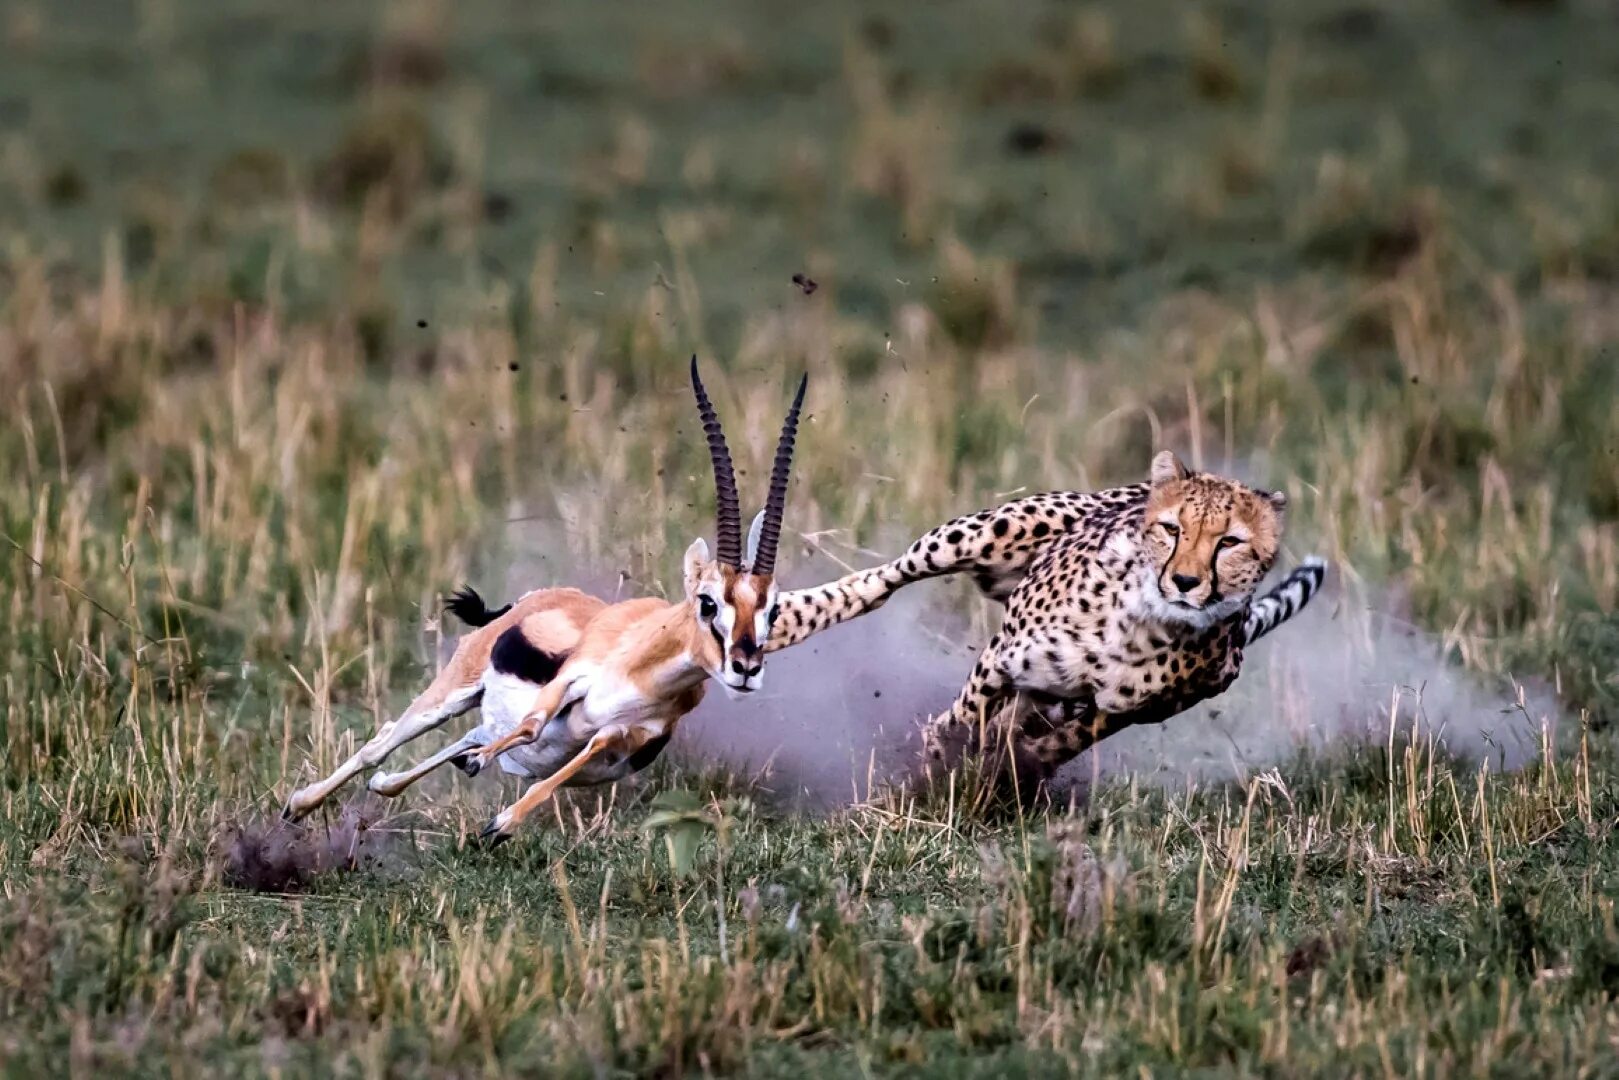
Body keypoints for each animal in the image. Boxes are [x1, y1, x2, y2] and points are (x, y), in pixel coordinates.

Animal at [770, 453, 1327, 780]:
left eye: (1229, 542)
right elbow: (962, 721)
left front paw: (1004, 773)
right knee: (884, 582)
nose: (1186, 582)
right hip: (983, 532)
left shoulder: (1117, 707)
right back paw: (780, 621)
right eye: (1172, 529)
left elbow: (1060, 739)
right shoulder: (1004, 658)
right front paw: (940, 772)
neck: (1140, 624)